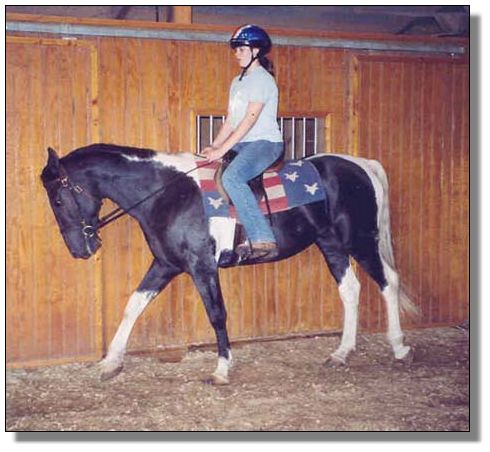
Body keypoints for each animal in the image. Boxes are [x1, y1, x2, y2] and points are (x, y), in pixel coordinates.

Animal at [41, 143, 417, 385]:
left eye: (58, 199)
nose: (80, 249)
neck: (168, 193)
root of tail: (360, 164)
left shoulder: (201, 266)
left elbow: (217, 314)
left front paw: (221, 369)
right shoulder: (165, 264)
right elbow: (133, 306)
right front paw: (110, 362)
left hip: (361, 241)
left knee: (389, 282)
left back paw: (399, 347)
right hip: (332, 245)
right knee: (350, 290)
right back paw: (341, 353)